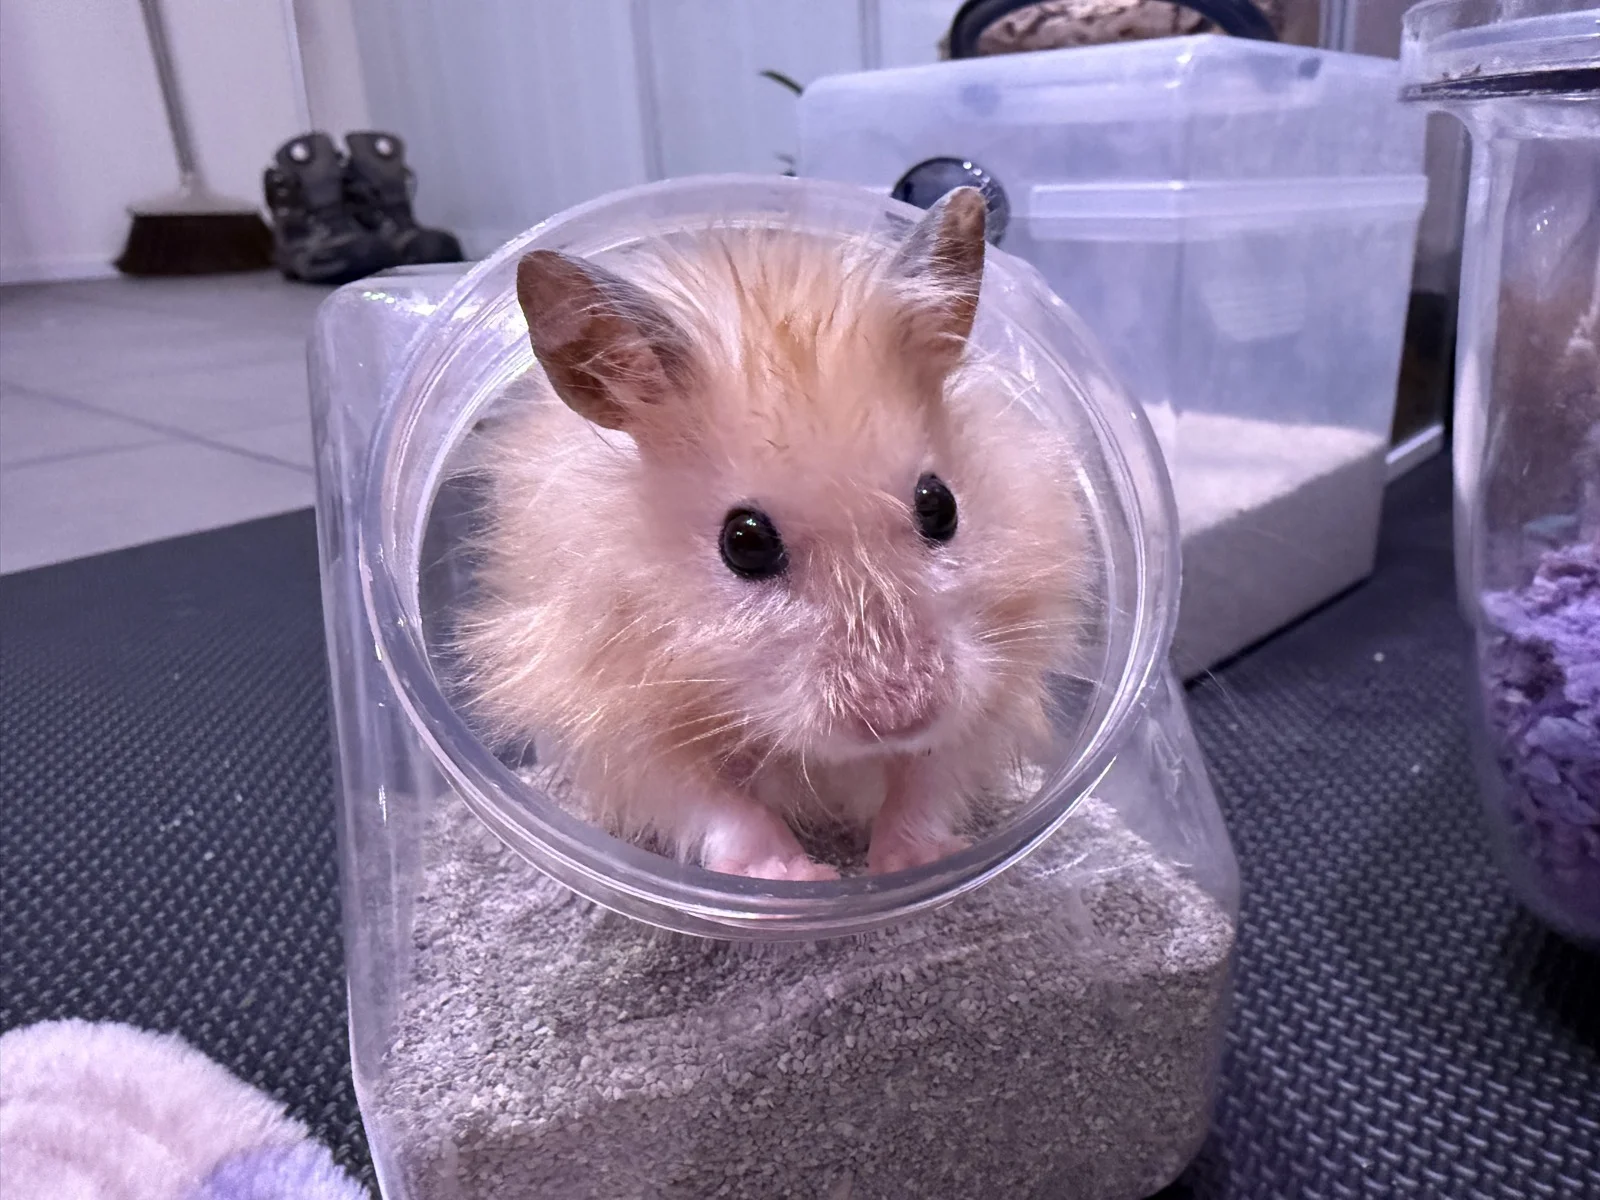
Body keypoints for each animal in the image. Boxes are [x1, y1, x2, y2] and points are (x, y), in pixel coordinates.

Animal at [456, 188, 1090, 880]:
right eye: (744, 543)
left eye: (940, 506)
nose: (902, 716)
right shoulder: (612, 710)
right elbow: (720, 807)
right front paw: (799, 874)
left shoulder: (998, 681)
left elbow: (926, 778)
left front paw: (910, 863)